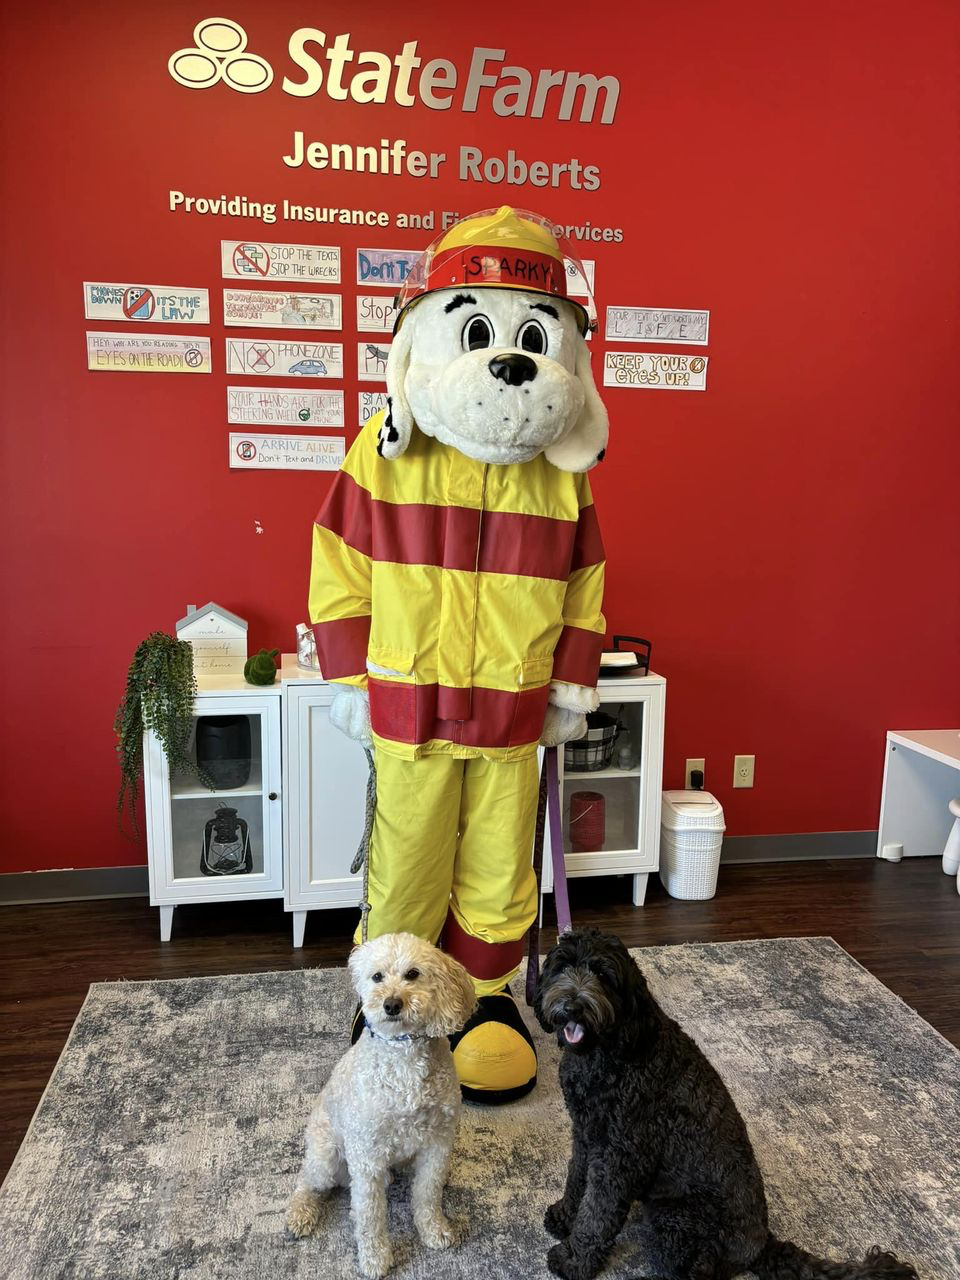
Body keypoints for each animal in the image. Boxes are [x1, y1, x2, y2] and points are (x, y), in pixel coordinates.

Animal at [288, 931, 478, 1280]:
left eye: (413, 974)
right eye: (376, 977)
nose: (391, 1004)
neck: (403, 1053)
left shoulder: (437, 1143)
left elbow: (427, 1193)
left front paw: (434, 1230)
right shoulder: (367, 1156)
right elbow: (370, 1215)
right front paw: (375, 1258)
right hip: (326, 1156)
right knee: (307, 1179)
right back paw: (300, 1213)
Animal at [535, 931, 916, 1280]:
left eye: (603, 975)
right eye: (563, 966)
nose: (572, 1006)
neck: (609, 1050)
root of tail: (762, 1244)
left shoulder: (621, 1154)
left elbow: (597, 1214)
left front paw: (573, 1261)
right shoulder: (586, 1133)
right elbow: (576, 1178)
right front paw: (564, 1216)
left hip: (678, 1219)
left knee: (702, 1269)